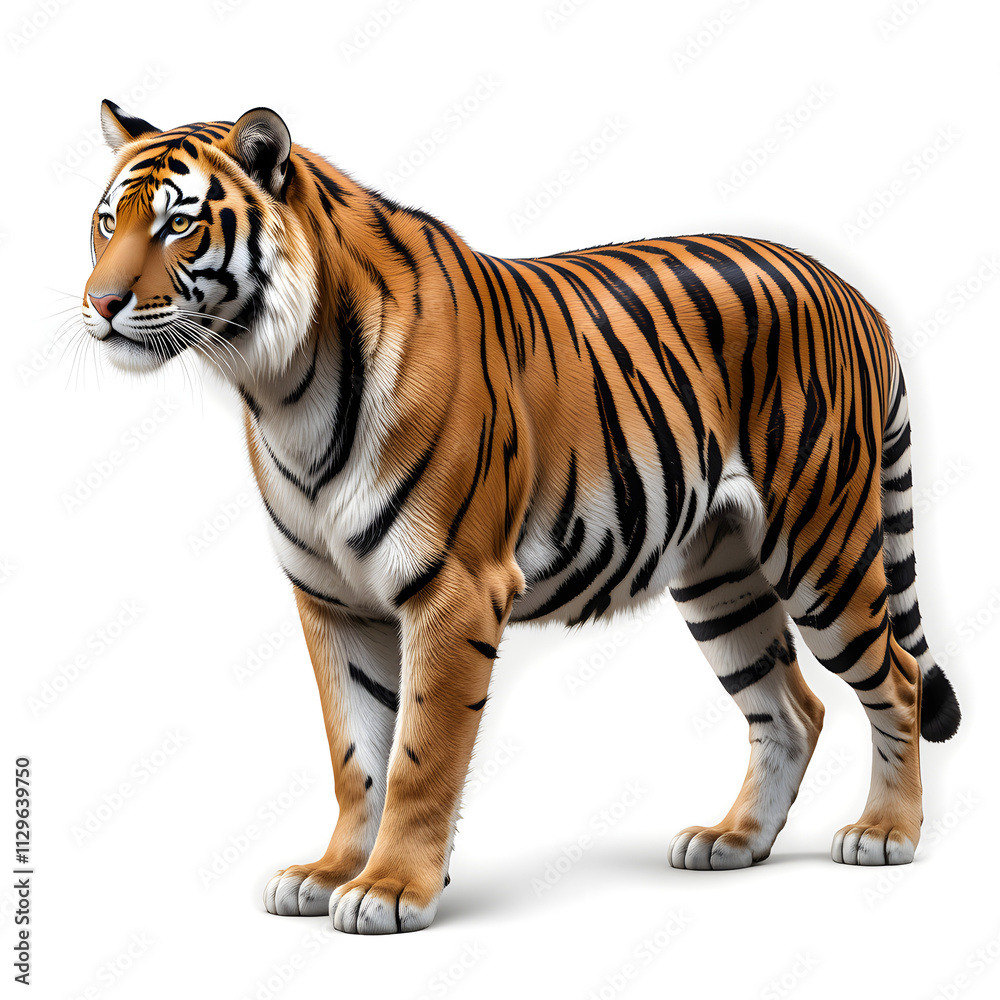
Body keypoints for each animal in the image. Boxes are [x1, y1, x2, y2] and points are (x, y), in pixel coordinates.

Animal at [82, 100, 961, 935]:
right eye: (107, 222)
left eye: (179, 224)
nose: (99, 303)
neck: (282, 385)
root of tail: (854, 294)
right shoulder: (332, 599)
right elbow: (355, 753)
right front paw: (331, 874)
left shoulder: (454, 586)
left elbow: (420, 754)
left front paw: (391, 890)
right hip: (722, 576)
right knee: (791, 709)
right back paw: (734, 839)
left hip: (822, 549)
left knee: (899, 677)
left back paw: (886, 832)